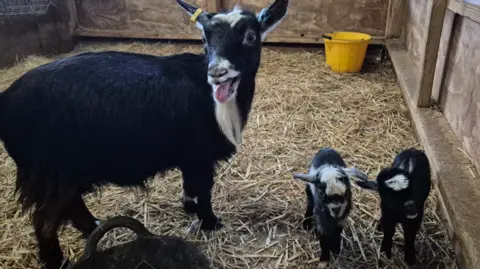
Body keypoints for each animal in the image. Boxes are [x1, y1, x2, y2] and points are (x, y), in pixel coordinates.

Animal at [0, 1, 288, 266]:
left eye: (250, 36)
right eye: (205, 39)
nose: (217, 73)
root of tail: (6, 101)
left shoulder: (189, 155)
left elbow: (190, 184)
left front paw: (189, 207)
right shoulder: (200, 154)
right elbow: (204, 189)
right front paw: (210, 222)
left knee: (72, 205)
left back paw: (94, 226)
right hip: (50, 174)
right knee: (45, 222)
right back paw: (58, 260)